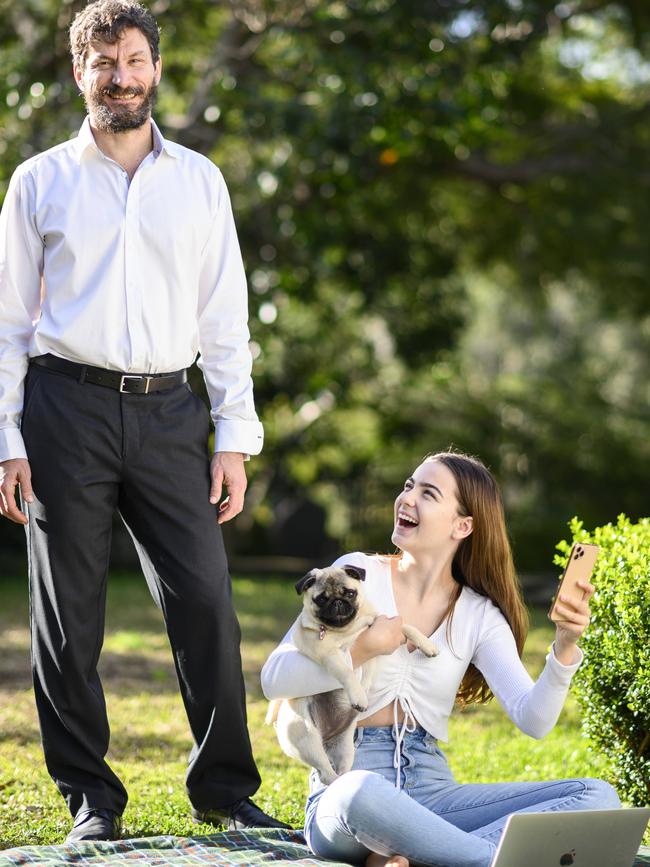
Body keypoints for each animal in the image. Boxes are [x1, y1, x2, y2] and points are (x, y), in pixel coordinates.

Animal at [266, 564, 438, 788]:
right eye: (321, 599)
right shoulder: (329, 655)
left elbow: (406, 626)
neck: (347, 630)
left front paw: (426, 644)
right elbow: (348, 672)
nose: (337, 602)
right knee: (326, 774)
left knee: (341, 768)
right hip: (307, 739)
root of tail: (326, 736)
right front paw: (358, 696)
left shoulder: (382, 623)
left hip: (346, 749)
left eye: (349, 593)